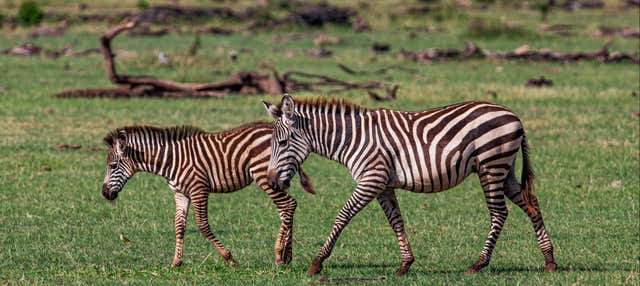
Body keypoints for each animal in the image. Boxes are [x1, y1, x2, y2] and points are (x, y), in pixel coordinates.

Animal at [100, 122, 318, 268]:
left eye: (113, 166)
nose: (104, 193)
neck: (170, 160)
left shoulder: (199, 190)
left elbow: (203, 226)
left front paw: (230, 259)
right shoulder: (180, 193)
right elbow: (179, 226)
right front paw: (176, 262)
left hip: (264, 176)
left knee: (288, 206)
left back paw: (279, 256)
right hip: (273, 179)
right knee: (287, 208)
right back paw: (287, 255)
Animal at [264, 96, 556, 278]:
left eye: (282, 143)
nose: (272, 182)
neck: (351, 138)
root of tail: (514, 116)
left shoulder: (371, 179)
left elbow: (343, 215)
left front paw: (317, 262)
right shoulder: (384, 185)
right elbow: (396, 221)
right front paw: (405, 264)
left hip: (491, 165)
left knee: (499, 213)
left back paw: (478, 263)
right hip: (504, 169)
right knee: (531, 203)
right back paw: (549, 260)